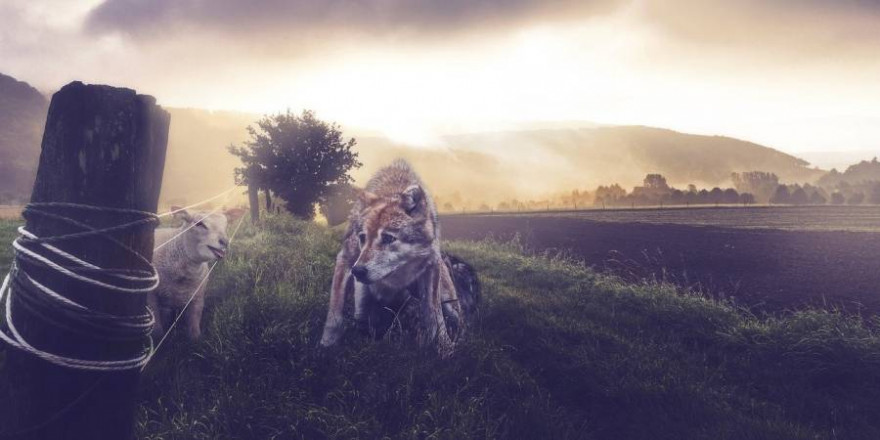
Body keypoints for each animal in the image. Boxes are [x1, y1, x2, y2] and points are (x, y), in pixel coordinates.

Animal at [148, 206, 244, 340]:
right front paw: (158, 338)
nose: (225, 242)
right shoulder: (151, 298)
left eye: (226, 225)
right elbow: (157, 331)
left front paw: (195, 340)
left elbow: (194, 328)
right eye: (199, 224)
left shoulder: (197, 297)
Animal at [318, 160, 468, 356]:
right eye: (362, 238)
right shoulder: (345, 259)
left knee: (456, 319)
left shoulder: (432, 265)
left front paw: (443, 347)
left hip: (450, 303)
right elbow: (335, 313)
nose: (357, 271)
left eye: (388, 238)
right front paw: (327, 345)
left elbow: (433, 313)